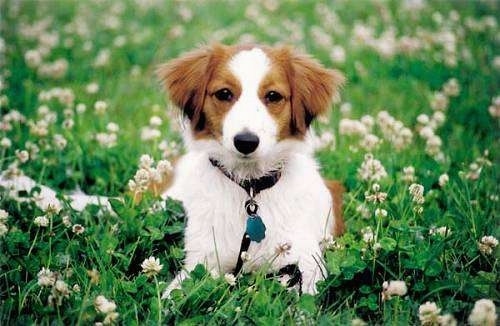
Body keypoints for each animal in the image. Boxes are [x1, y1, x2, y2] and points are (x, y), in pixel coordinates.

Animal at [158, 42, 346, 296]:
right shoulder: (201, 261)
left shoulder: (306, 264)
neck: (250, 188)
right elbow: (174, 295)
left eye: (273, 96)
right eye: (224, 94)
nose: (246, 141)